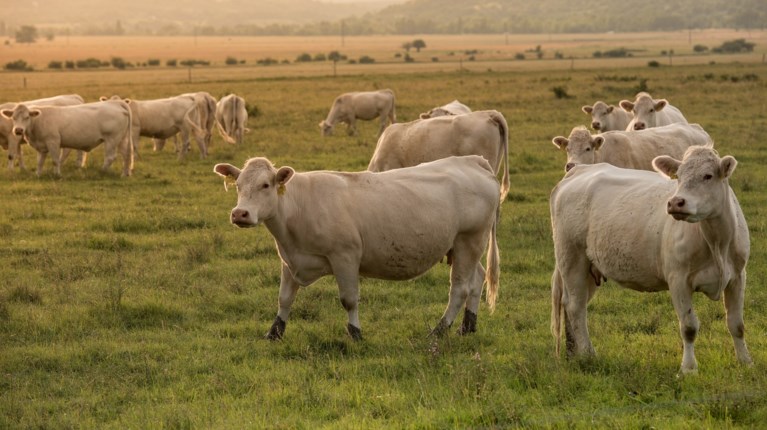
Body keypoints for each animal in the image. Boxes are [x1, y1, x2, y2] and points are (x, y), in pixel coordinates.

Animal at [0, 99, 134, 176]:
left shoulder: (53, 142)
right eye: (13, 118)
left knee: (110, 157)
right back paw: (125, 174)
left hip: (112, 139)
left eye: (27, 117)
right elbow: (40, 162)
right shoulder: (41, 146)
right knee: (126, 155)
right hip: (122, 139)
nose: (18, 130)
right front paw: (38, 174)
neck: (39, 120)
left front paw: (57, 175)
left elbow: (55, 160)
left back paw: (102, 171)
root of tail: (116, 103)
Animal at [214, 156, 504, 340]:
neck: (299, 206)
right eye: (238, 186)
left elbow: (349, 299)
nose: (240, 214)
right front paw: (274, 332)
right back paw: (467, 327)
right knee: (477, 280)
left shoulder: (345, 257)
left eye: (265, 185)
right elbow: (284, 298)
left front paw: (355, 333)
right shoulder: (290, 260)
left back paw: (439, 330)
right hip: (463, 246)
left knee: (459, 289)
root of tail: (472, 161)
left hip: (469, 240)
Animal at [552, 146, 756, 374]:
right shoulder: (678, 279)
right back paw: (588, 354)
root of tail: (578, 170)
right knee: (575, 306)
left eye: (708, 176)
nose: (676, 202)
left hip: (589, 267)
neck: (717, 243)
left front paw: (745, 362)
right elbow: (689, 327)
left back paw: (573, 353)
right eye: (679, 176)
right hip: (572, 257)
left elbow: (736, 324)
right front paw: (688, 369)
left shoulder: (738, 276)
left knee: (573, 305)